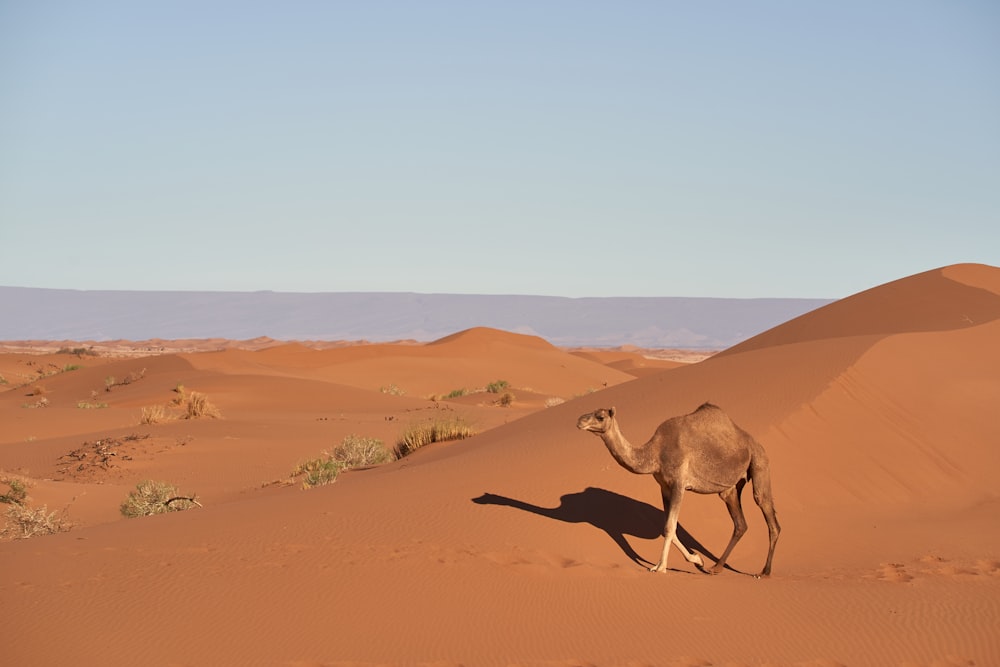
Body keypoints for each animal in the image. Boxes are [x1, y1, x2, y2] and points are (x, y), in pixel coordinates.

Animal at [580, 404, 780, 576]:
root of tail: (753, 441)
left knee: (766, 509)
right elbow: (668, 528)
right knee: (740, 524)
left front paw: (661, 567)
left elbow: (669, 527)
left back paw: (764, 572)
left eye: (600, 416)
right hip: (730, 489)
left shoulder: (679, 484)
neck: (655, 452)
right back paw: (715, 568)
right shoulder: (664, 487)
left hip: (760, 461)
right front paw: (697, 560)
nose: (580, 420)